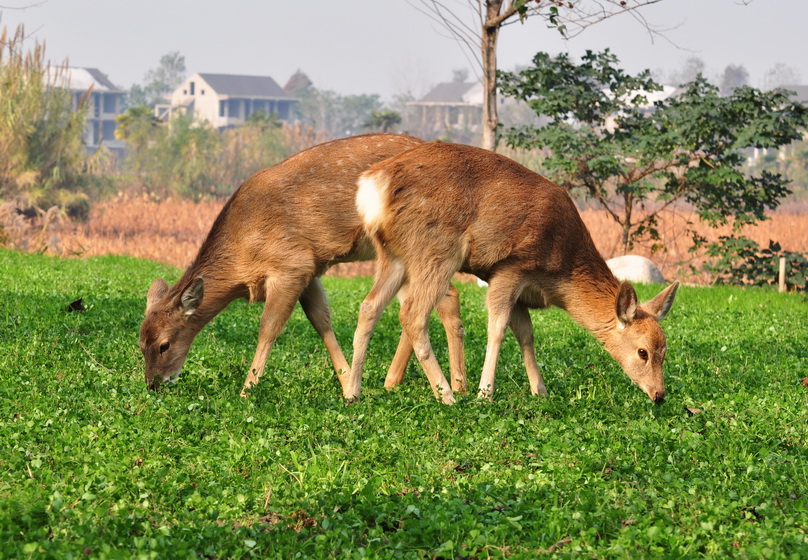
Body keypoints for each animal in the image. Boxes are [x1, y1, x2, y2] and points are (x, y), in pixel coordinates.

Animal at [138, 134, 468, 400]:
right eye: (140, 343)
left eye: (164, 345)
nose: (153, 385)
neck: (242, 257)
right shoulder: (310, 266)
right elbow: (321, 320)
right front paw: (346, 383)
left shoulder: (290, 263)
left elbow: (268, 327)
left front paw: (246, 391)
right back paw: (398, 382)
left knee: (444, 297)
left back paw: (455, 385)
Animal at [350, 140, 680, 402]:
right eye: (642, 352)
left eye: (665, 350)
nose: (659, 394)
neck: (559, 274)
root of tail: (372, 188)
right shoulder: (511, 267)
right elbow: (497, 328)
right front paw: (485, 393)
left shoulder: (524, 290)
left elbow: (526, 334)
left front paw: (541, 391)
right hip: (436, 249)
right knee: (412, 314)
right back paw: (447, 395)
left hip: (392, 254)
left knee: (369, 306)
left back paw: (353, 391)